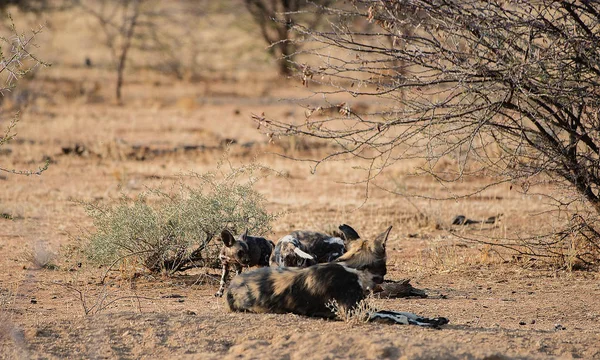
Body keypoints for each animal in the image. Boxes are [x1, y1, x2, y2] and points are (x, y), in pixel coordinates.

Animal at [226, 226, 450, 328]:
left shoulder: (365, 307)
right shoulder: (355, 313)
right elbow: (401, 316)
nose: (381, 282)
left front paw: (430, 319)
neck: (355, 270)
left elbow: (403, 312)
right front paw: (428, 323)